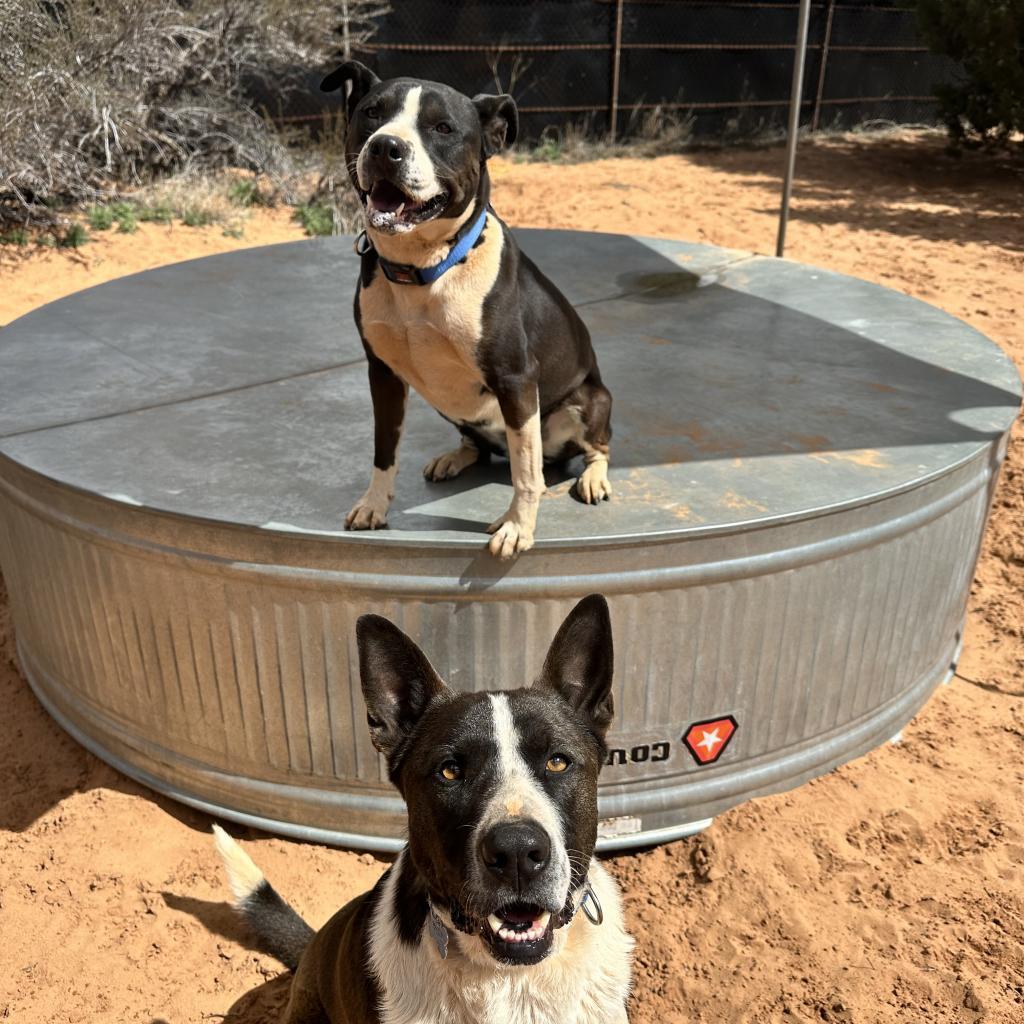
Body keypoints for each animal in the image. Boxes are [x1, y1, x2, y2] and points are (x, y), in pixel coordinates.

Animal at [325, 61, 614, 561]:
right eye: (372, 113)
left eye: (442, 128)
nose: (385, 146)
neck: (423, 269)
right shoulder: (382, 374)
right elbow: (384, 449)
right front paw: (374, 505)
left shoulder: (516, 380)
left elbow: (525, 472)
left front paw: (517, 526)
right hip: (449, 405)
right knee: (480, 445)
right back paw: (455, 457)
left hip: (588, 400)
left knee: (591, 448)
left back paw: (593, 477)